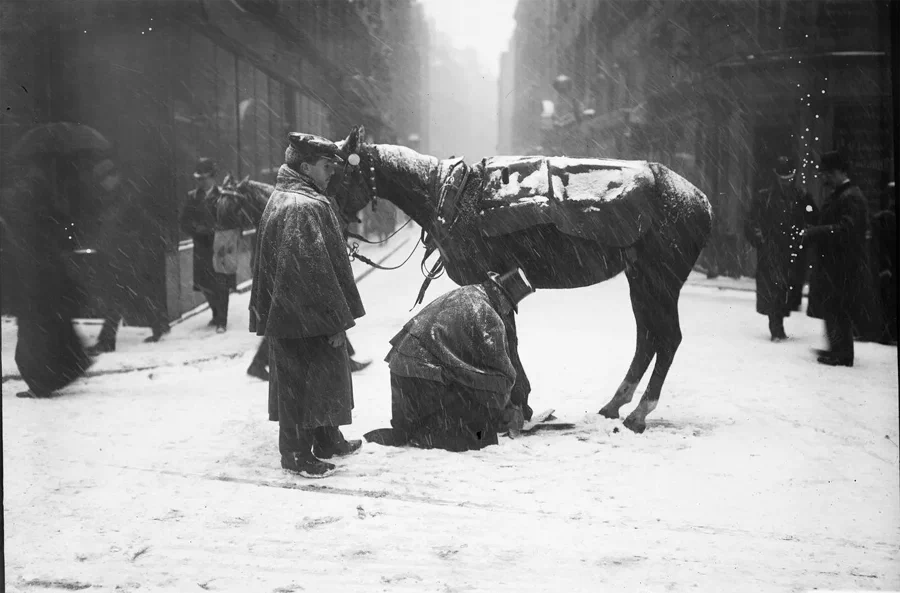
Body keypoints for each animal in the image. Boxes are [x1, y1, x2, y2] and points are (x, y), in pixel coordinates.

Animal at [330, 125, 712, 432]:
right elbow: (510, 341)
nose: (330, 210)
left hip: (661, 281)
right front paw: (523, 403)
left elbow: (507, 341)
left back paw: (640, 412)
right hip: (641, 280)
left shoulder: (492, 279)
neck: (454, 198)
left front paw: (518, 403)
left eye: (340, 172)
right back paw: (616, 404)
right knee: (647, 338)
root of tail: (701, 201)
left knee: (667, 339)